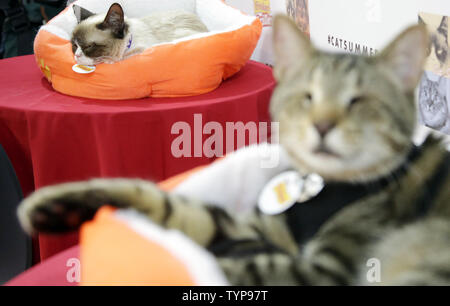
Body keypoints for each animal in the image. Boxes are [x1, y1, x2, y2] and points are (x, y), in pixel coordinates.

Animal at [16, 16, 450, 284]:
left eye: (358, 102)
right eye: (306, 97)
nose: (74, 56)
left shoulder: (311, 271)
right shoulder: (251, 226)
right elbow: (158, 201)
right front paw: (56, 208)